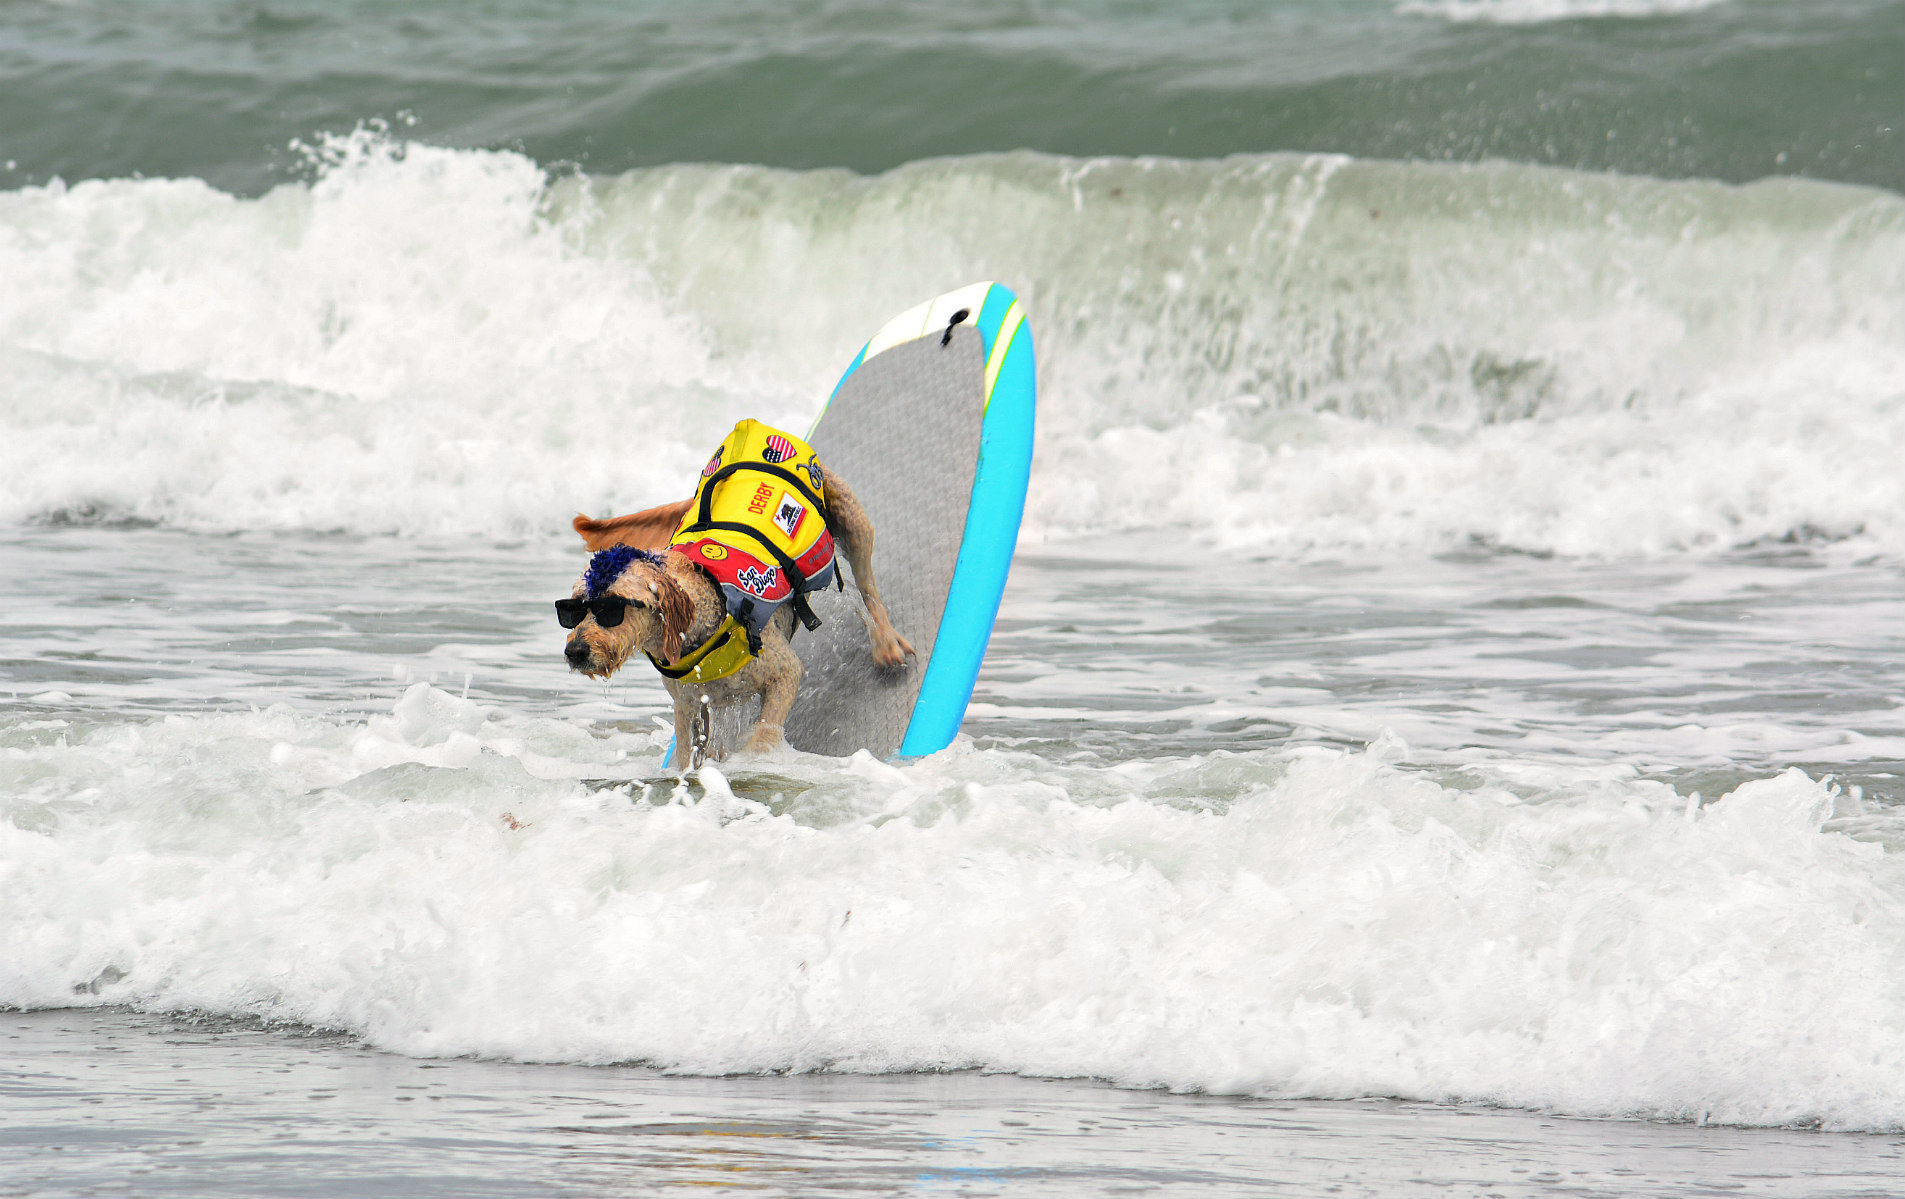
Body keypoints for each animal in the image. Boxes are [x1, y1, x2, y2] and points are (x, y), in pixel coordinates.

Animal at [556, 421, 914, 758]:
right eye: (573, 608)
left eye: (613, 607)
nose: (575, 651)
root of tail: (761, 427)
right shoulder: (688, 708)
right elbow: (687, 756)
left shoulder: (785, 672)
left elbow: (763, 738)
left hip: (852, 521)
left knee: (868, 590)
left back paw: (886, 643)